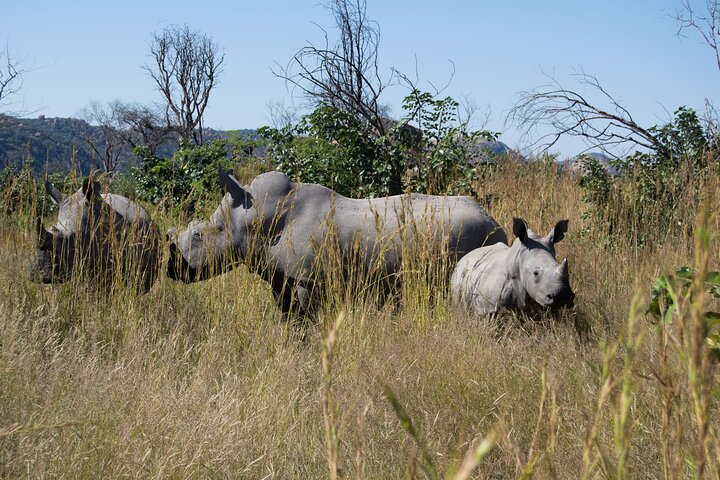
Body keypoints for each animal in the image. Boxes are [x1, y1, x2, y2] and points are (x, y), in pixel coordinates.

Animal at [166, 169, 507, 314]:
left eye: (198, 236)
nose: (171, 269)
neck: (252, 219)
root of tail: (495, 221)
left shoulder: (309, 277)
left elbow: (306, 318)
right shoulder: (282, 275)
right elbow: (287, 317)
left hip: (471, 236)